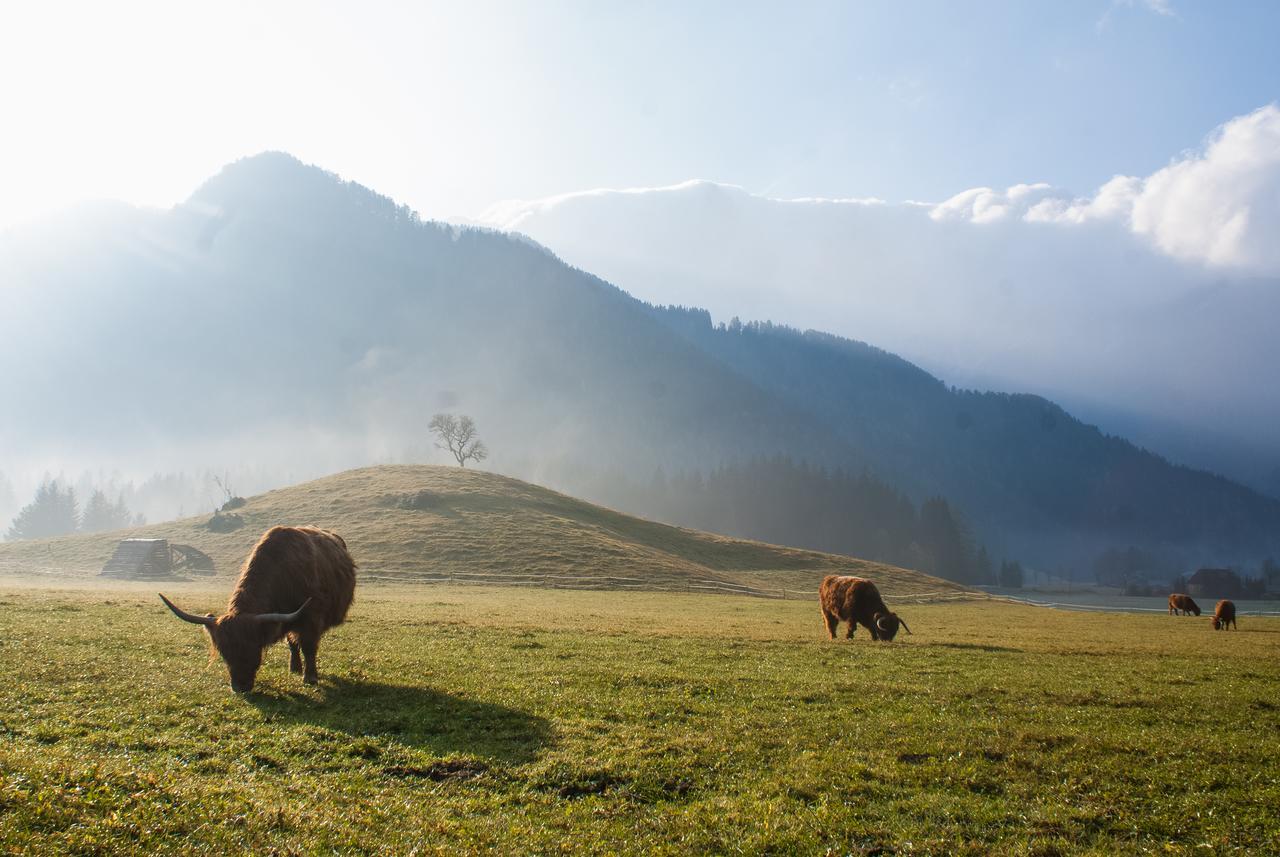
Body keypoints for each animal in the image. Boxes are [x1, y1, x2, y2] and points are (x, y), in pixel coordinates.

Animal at [162, 526, 360, 695]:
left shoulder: (311, 618)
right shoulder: (285, 618)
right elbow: (292, 643)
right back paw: (294, 668)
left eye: (253, 648)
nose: (239, 687)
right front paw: (295, 669)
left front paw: (310, 678)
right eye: (224, 653)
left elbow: (309, 647)